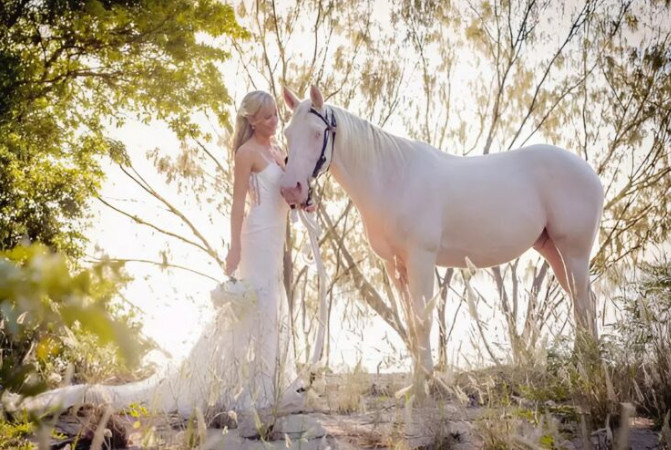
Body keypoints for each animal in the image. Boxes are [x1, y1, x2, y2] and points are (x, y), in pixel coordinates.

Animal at [279, 85, 604, 392]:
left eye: (317, 133)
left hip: (574, 252)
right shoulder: (394, 265)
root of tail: (589, 171)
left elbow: (423, 319)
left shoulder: (421, 258)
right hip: (553, 250)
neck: (393, 178)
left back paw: (588, 368)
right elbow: (411, 322)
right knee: (584, 300)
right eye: (287, 133)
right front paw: (415, 381)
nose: (291, 189)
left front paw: (424, 383)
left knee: (583, 304)